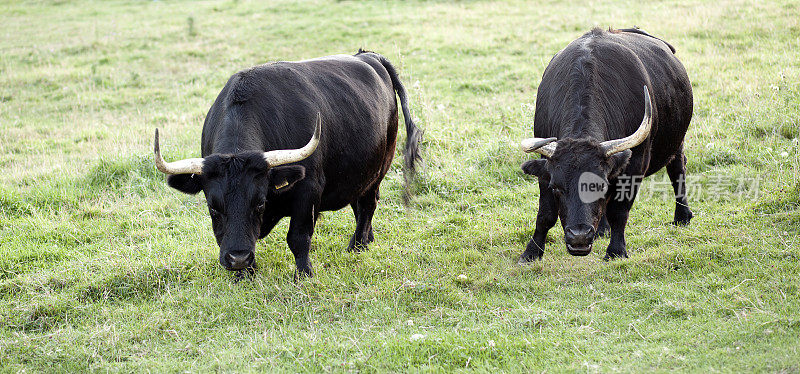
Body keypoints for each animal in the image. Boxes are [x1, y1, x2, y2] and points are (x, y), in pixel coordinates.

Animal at [152, 49, 422, 276]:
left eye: (260, 203)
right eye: (213, 208)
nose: (238, 259)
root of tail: (368, 56)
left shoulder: (308, 191)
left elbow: (298, 238)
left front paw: (304, 274)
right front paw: (245, 274)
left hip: (380, 166)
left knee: (368, 204)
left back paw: (357, 246)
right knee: (360, 203)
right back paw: (368, 238)